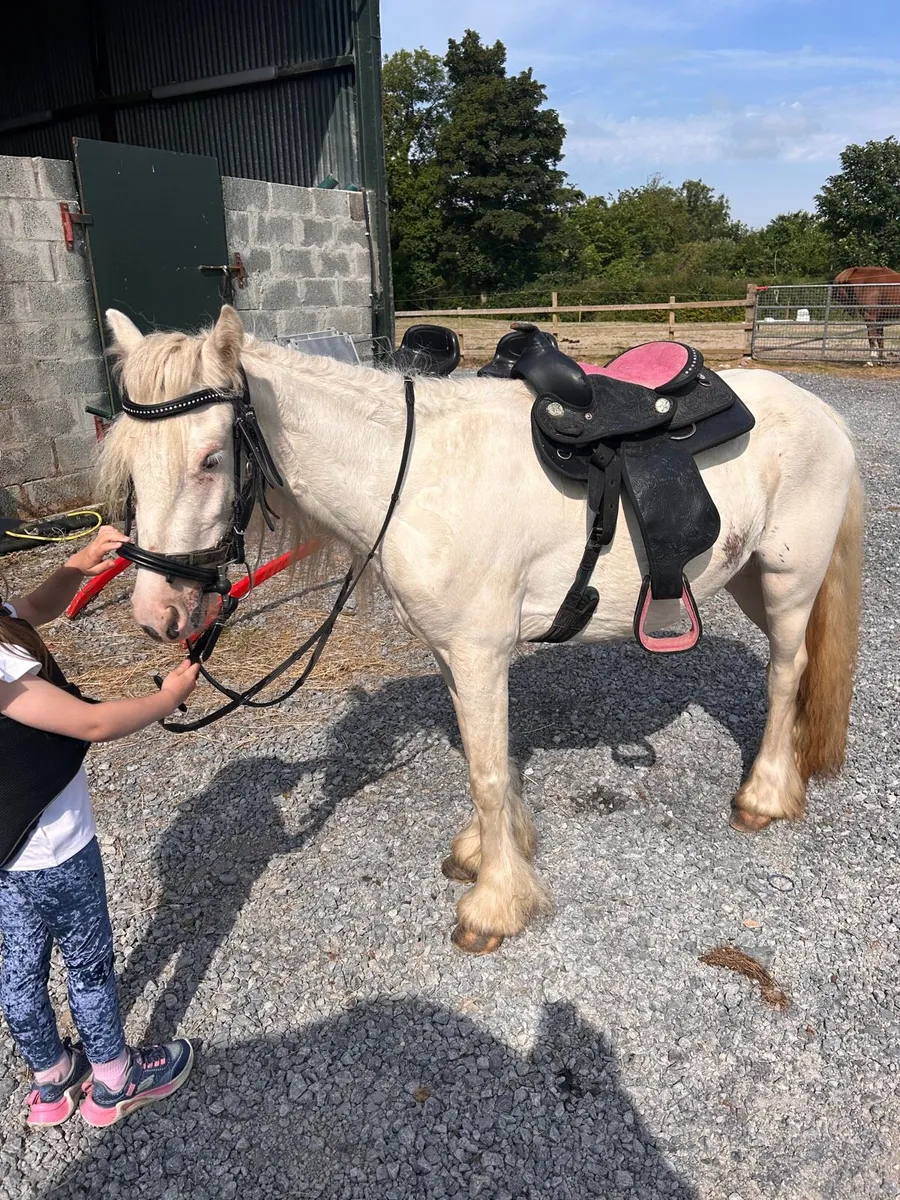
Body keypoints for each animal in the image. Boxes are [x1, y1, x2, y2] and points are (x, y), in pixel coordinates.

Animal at [99, 305, 863, 955]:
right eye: (128, 460)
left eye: (210, 459)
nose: (155, 612)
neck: (415, 477)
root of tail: (822, 411)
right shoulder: (452, 654)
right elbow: (479, 759)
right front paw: (485, 854)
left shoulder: (479, 652)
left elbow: (490, 773)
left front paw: (496, 904)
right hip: (747, 576)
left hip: (789, 581)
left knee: (787, 672)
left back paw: (765, 794)